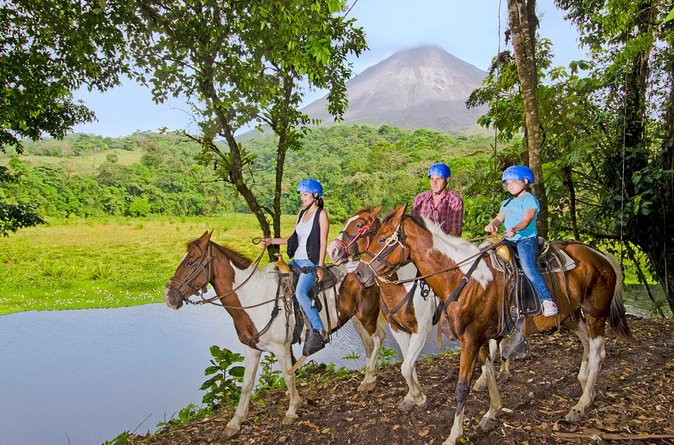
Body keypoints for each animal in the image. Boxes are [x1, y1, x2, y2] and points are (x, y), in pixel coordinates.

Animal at [163, 231, 384, 438]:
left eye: (191, 262)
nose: (169, 297)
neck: (254, 298)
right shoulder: (251, 349)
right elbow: (246, 385)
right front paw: (235, 422)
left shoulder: (281, 348)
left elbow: (288, 376)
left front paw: (292, 410)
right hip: (356, 319)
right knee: (369, 344)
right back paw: (369, 380)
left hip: (367, 315)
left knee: (377, 339)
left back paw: (368, 379)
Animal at [352, 205, 632, 444]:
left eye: (381, 239)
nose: (360, 273)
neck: (461, 277)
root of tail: (600, 255)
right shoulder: (479, 337)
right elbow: (487, 373)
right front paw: (492, 413)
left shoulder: (469, 337)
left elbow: (461, 386)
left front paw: (454, 434)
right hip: (572, 316)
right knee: (588, 346)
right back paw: (586, 388)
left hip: (595, 315)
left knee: (598, 353)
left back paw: (580, 406)